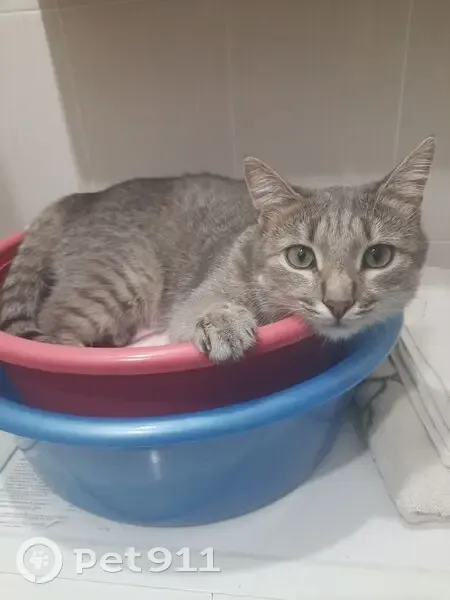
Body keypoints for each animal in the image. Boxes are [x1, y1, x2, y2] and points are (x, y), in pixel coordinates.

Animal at [0, 136, 435, 362]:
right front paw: (222, 321)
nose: (340, 303)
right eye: (301, 257)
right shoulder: (192, 302)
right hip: (123, 276)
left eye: (378, 257)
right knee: (56, 327)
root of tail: (76, 198)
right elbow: (205, 310)